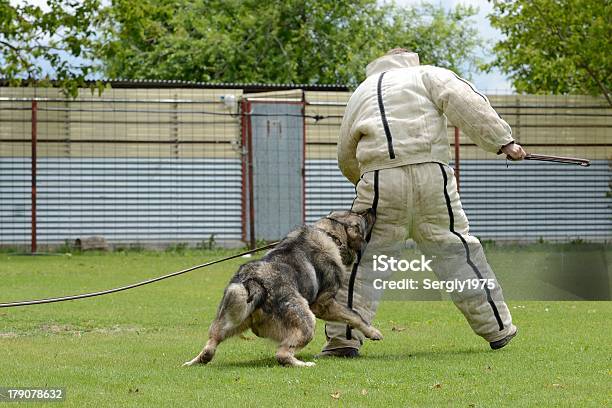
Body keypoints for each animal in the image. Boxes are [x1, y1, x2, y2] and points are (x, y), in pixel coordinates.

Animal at [182, 210, 382, 366]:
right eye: (361, 217)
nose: (372, 208)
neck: (329, 233)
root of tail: (255, 283)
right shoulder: (324, 305)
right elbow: (354, 315)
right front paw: (373, 332)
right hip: (307, 321)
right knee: (282, 354)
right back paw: (303, 364)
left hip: (229, 319)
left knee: (210, 346)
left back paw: (192, 362)